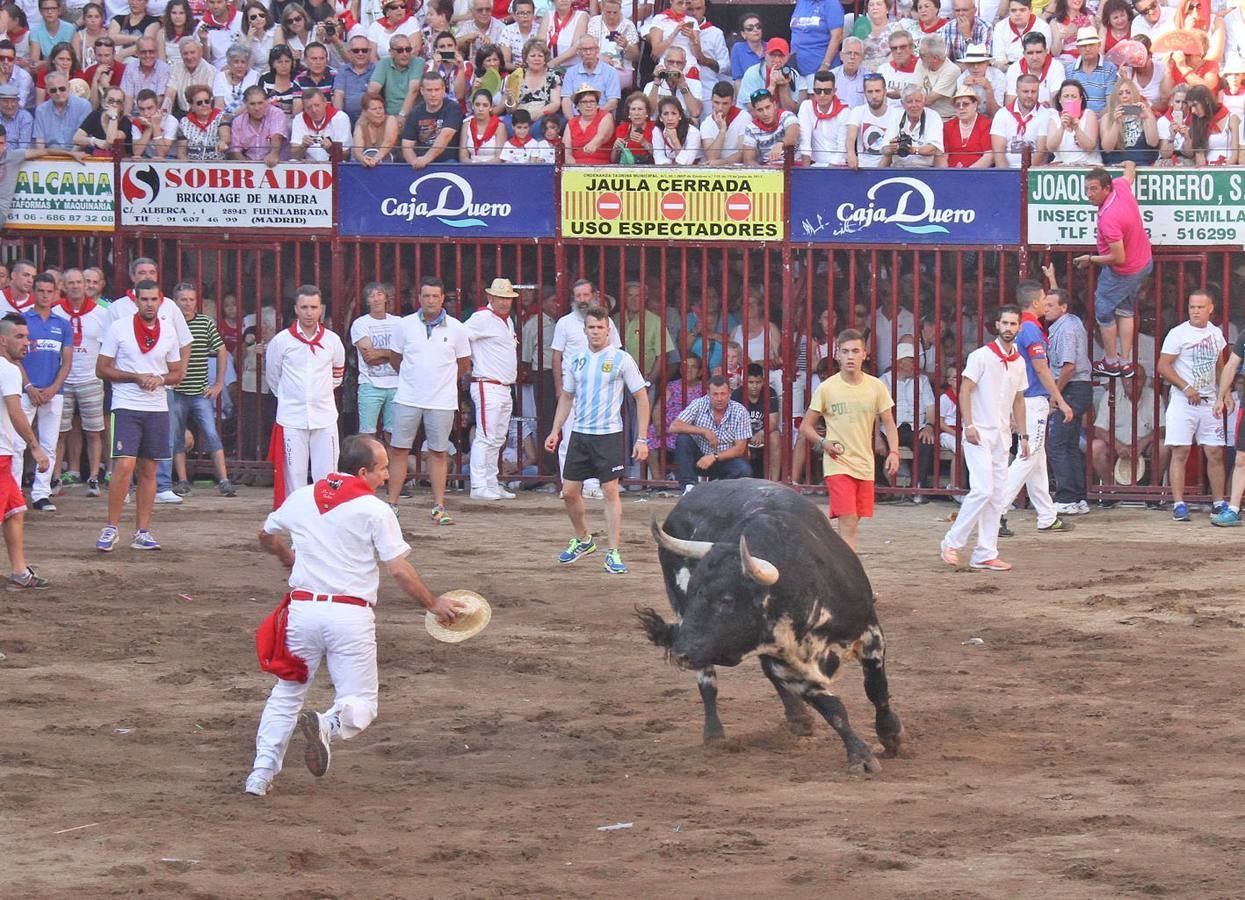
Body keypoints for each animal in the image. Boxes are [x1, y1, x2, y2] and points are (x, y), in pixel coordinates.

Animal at [642, 478, 906, 776]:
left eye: (726, 600)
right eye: (692, 593)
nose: (681, 654)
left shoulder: (871, 635)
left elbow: (876, 689)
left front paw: (889, 734)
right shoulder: (789, 666)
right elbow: (833, 708)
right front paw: (859, 756)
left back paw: (799, 719)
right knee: (708, 680)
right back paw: (715, 734)